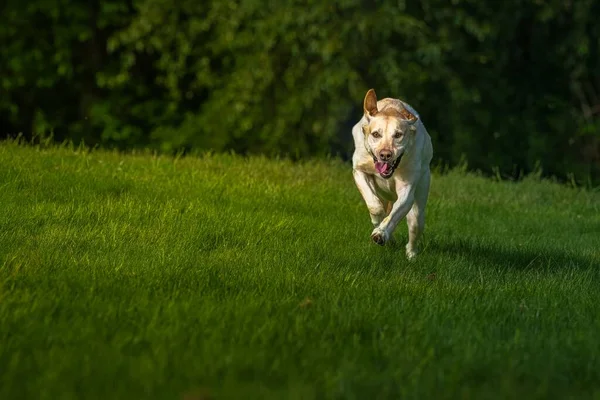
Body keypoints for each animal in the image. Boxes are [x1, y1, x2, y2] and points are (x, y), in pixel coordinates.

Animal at [352, 87, 432, 260]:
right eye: (376, 134)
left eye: (398, 135)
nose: (385, 155)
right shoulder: (359, 170)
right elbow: (375, 206)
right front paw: (379, 223)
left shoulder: (407, 190)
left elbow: (394, 214)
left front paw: (381, 234)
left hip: (421, 196)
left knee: (415, 224)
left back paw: (411, 255)